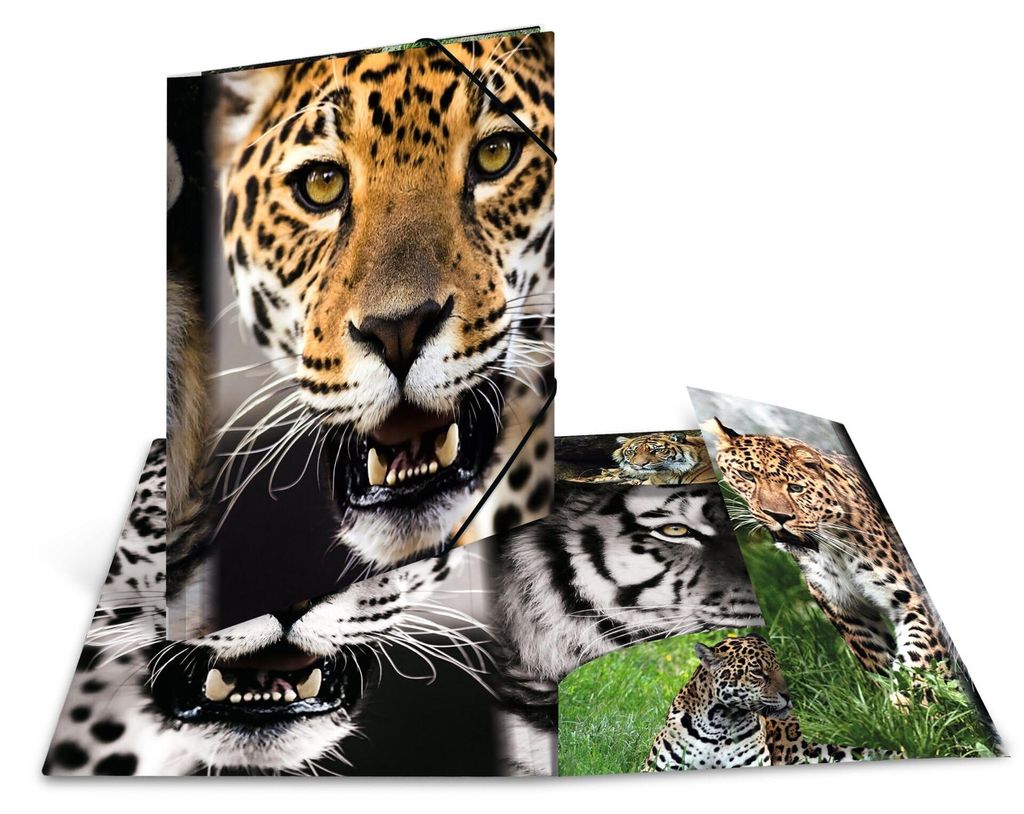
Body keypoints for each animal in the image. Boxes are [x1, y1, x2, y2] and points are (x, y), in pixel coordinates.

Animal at [701, 417, 950, 676]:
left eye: (795, 488)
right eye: (747, 476)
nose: (778, 516)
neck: (832, 550)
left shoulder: (910, 599)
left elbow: (921, 656)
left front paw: (915, 686)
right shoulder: (843, 606)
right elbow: (875, 657)